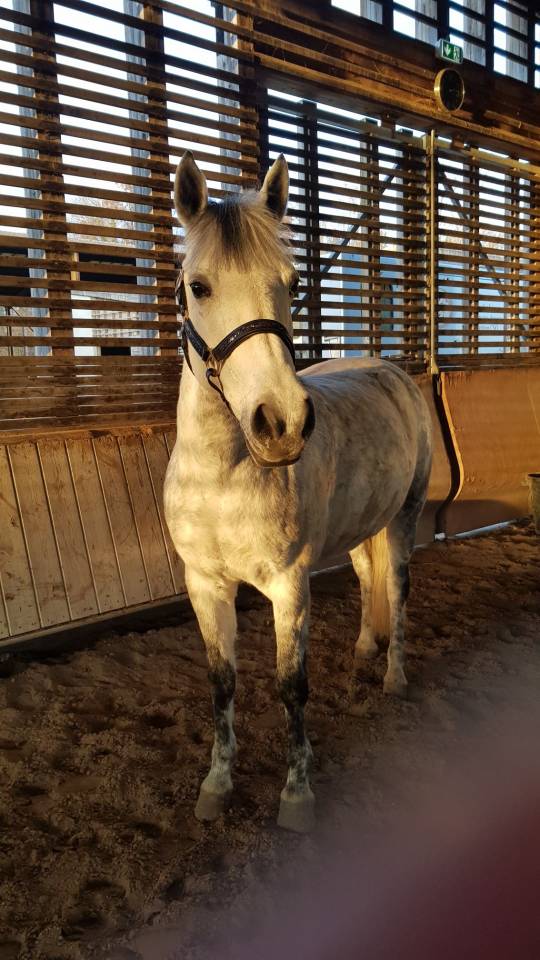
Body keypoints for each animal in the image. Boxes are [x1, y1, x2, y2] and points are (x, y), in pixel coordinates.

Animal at [164, 151, 433, 833]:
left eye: (290, 281)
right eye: (199, 286)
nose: (281, 423)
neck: (223, 476)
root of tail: (391, 370)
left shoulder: (289, 584)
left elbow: (291, 686)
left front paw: (297, 794)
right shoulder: (205, 584)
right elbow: (221, 683)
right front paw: (216, 786)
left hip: (405, 517)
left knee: (396, 587)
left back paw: (394, 677)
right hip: (365, 523)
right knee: (366, 577)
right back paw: (364, 649)